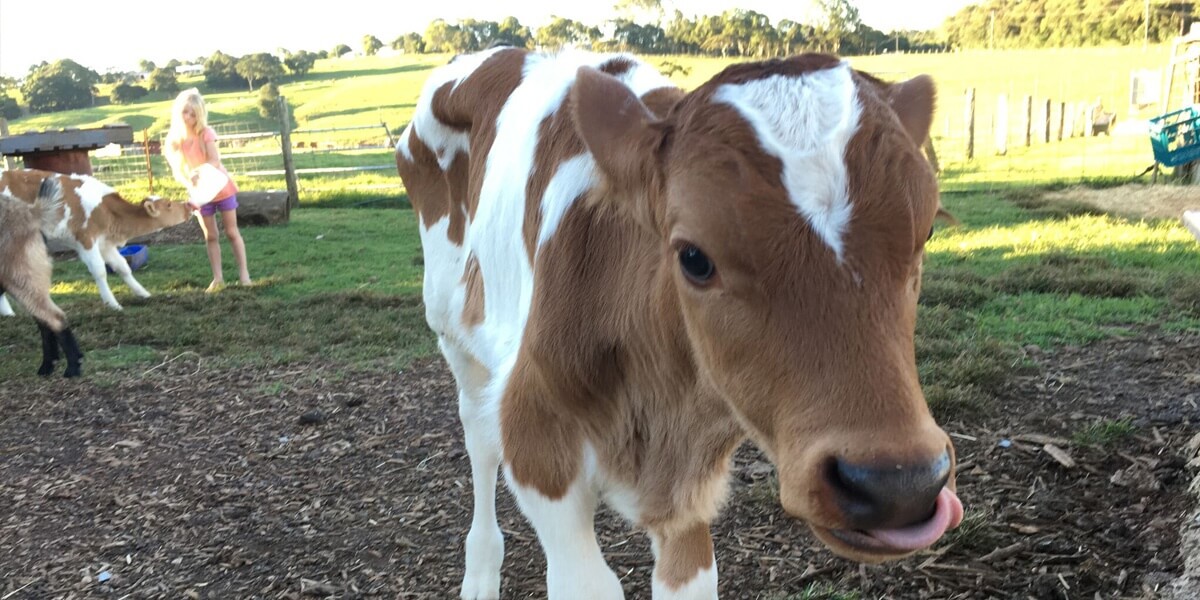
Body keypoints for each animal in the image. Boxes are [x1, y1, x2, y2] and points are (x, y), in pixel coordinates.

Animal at [0, 175, 84, 376]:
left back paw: (72, 367)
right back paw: (48, 365)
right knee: (43, 321)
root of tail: (31, 212)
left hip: (21, 280)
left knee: (54, 318)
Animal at [398, 48, 960, 600]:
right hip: (452, 330)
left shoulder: (690, 486)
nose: (898, 484)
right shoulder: (535, 438)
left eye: (927, 232)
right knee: (478, 435)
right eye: (693, 257)